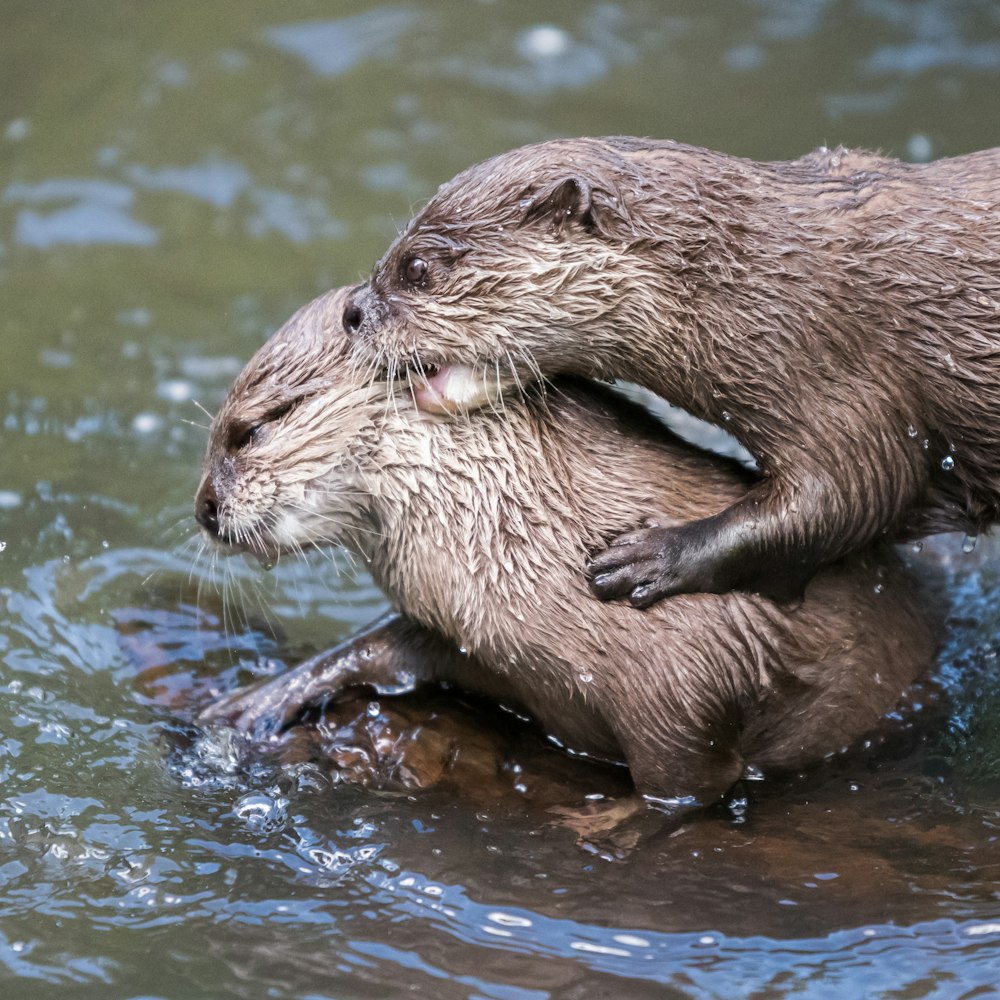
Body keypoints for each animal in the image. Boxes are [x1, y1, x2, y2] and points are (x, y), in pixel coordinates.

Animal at [193, 286, 936, 808]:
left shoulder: (688, 681)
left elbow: (688, 787)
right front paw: (259, 699)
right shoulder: (475, 635)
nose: (202, 507)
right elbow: (385, 646)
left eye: (253, 429)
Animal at [340, 137, 1000, 604]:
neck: (764, 284)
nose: (351, 310)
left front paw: (655, 557)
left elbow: (854, 492)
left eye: (417, 267)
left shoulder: (842, 371)